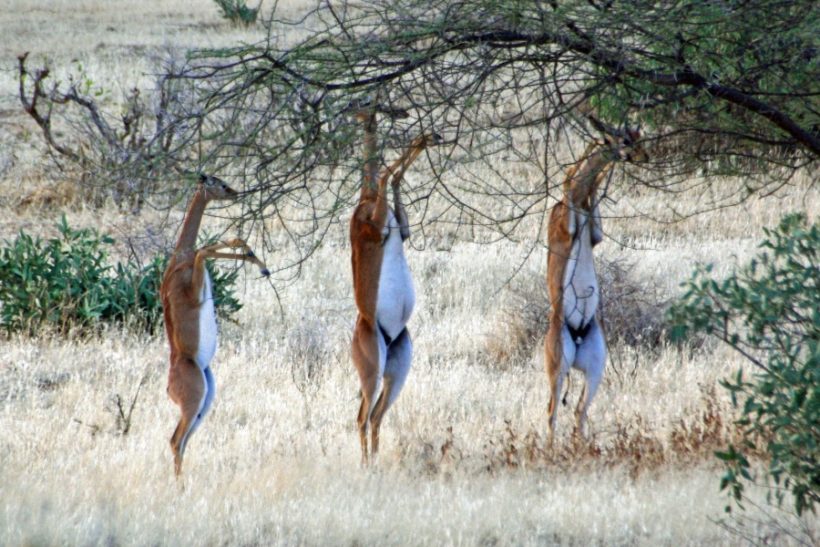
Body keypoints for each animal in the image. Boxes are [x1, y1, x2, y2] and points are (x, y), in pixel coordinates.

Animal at [162, 173, 270, 478]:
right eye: (218, 183)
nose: (235, 192)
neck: (180, 258)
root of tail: (169, 385)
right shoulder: (196, 288)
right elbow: (206, 249)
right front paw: (260, 264)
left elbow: (216, 244)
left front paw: (259, 262)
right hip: (194, 403)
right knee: (175, 440)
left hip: (204, 403)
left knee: (181, 442)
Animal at [350, 109, 442, 464]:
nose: (398, 110)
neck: (365, 200)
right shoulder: (377, 228)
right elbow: (388, 173)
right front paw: (425, 137)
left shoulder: (403, 231)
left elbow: (394, 177)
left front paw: (428, 138)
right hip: (373, 373)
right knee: (361, 417)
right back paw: (366, 465)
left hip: (396, 373)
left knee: (376, 416)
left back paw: (375, 461)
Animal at [544, 128, 648, 446]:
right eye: (624, 140)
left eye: (636, 137)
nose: (643, 156)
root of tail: (576, 337)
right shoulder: (567, 227)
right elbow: (569, 183)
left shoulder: (595, 234)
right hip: (559, 367)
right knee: (551, 410)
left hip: (595, 368)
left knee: (578, 409)